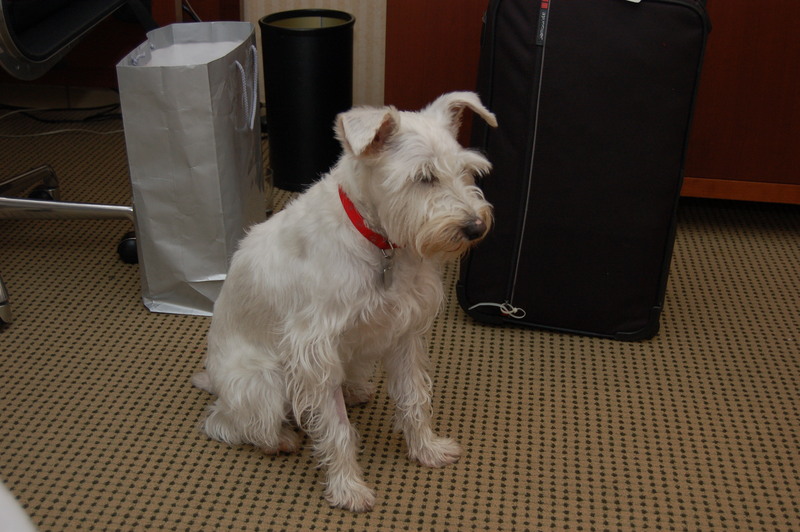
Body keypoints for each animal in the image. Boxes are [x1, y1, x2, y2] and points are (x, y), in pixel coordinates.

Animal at [192, 91, 497, 512]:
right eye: (424, 177)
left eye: (467, 171)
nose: (476, 228)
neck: (379, 241)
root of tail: (215, 381)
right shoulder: (315, 350)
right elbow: (337, 429)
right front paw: (347, 487)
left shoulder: (404, 334)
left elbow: (414, 398)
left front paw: (426, 449)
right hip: (263, 383)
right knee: (226, 423)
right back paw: (278, 439)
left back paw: (354, 390)